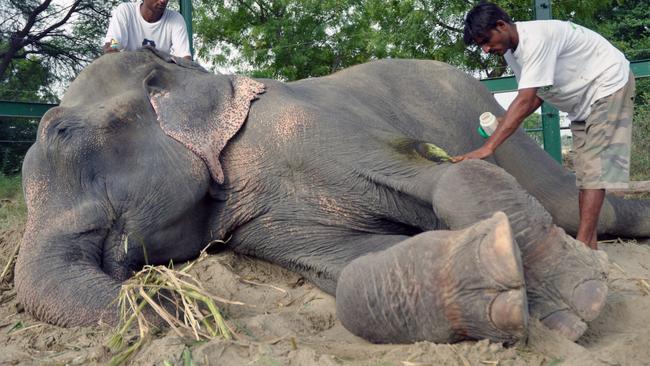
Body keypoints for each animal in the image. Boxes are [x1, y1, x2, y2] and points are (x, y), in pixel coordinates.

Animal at [16, 47, 648, 344]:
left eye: (61, 132)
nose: (173, 304)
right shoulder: (261, 221)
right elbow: (348, 272)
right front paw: (500, 290)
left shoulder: (305, 124)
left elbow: (442, 173)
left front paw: (577, 302)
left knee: (571, 200)